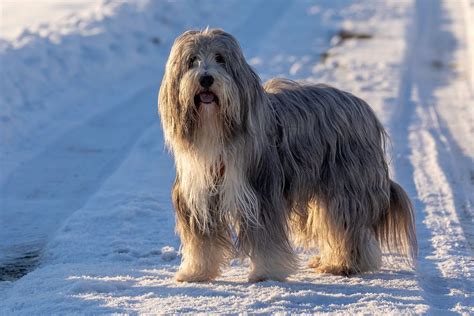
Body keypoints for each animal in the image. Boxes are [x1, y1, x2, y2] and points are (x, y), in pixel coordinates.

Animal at [157, 28, 416, 282]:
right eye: (192, 60)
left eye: (220, 59)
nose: (206, 78)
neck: (216, 131)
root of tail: (365, 109)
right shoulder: (199, 196)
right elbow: (202, 242)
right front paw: (196, 272)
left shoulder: (260, 193)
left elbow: (266, 240)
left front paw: (266, 273)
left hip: (346, 185)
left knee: (347, 226)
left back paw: (344, 264)